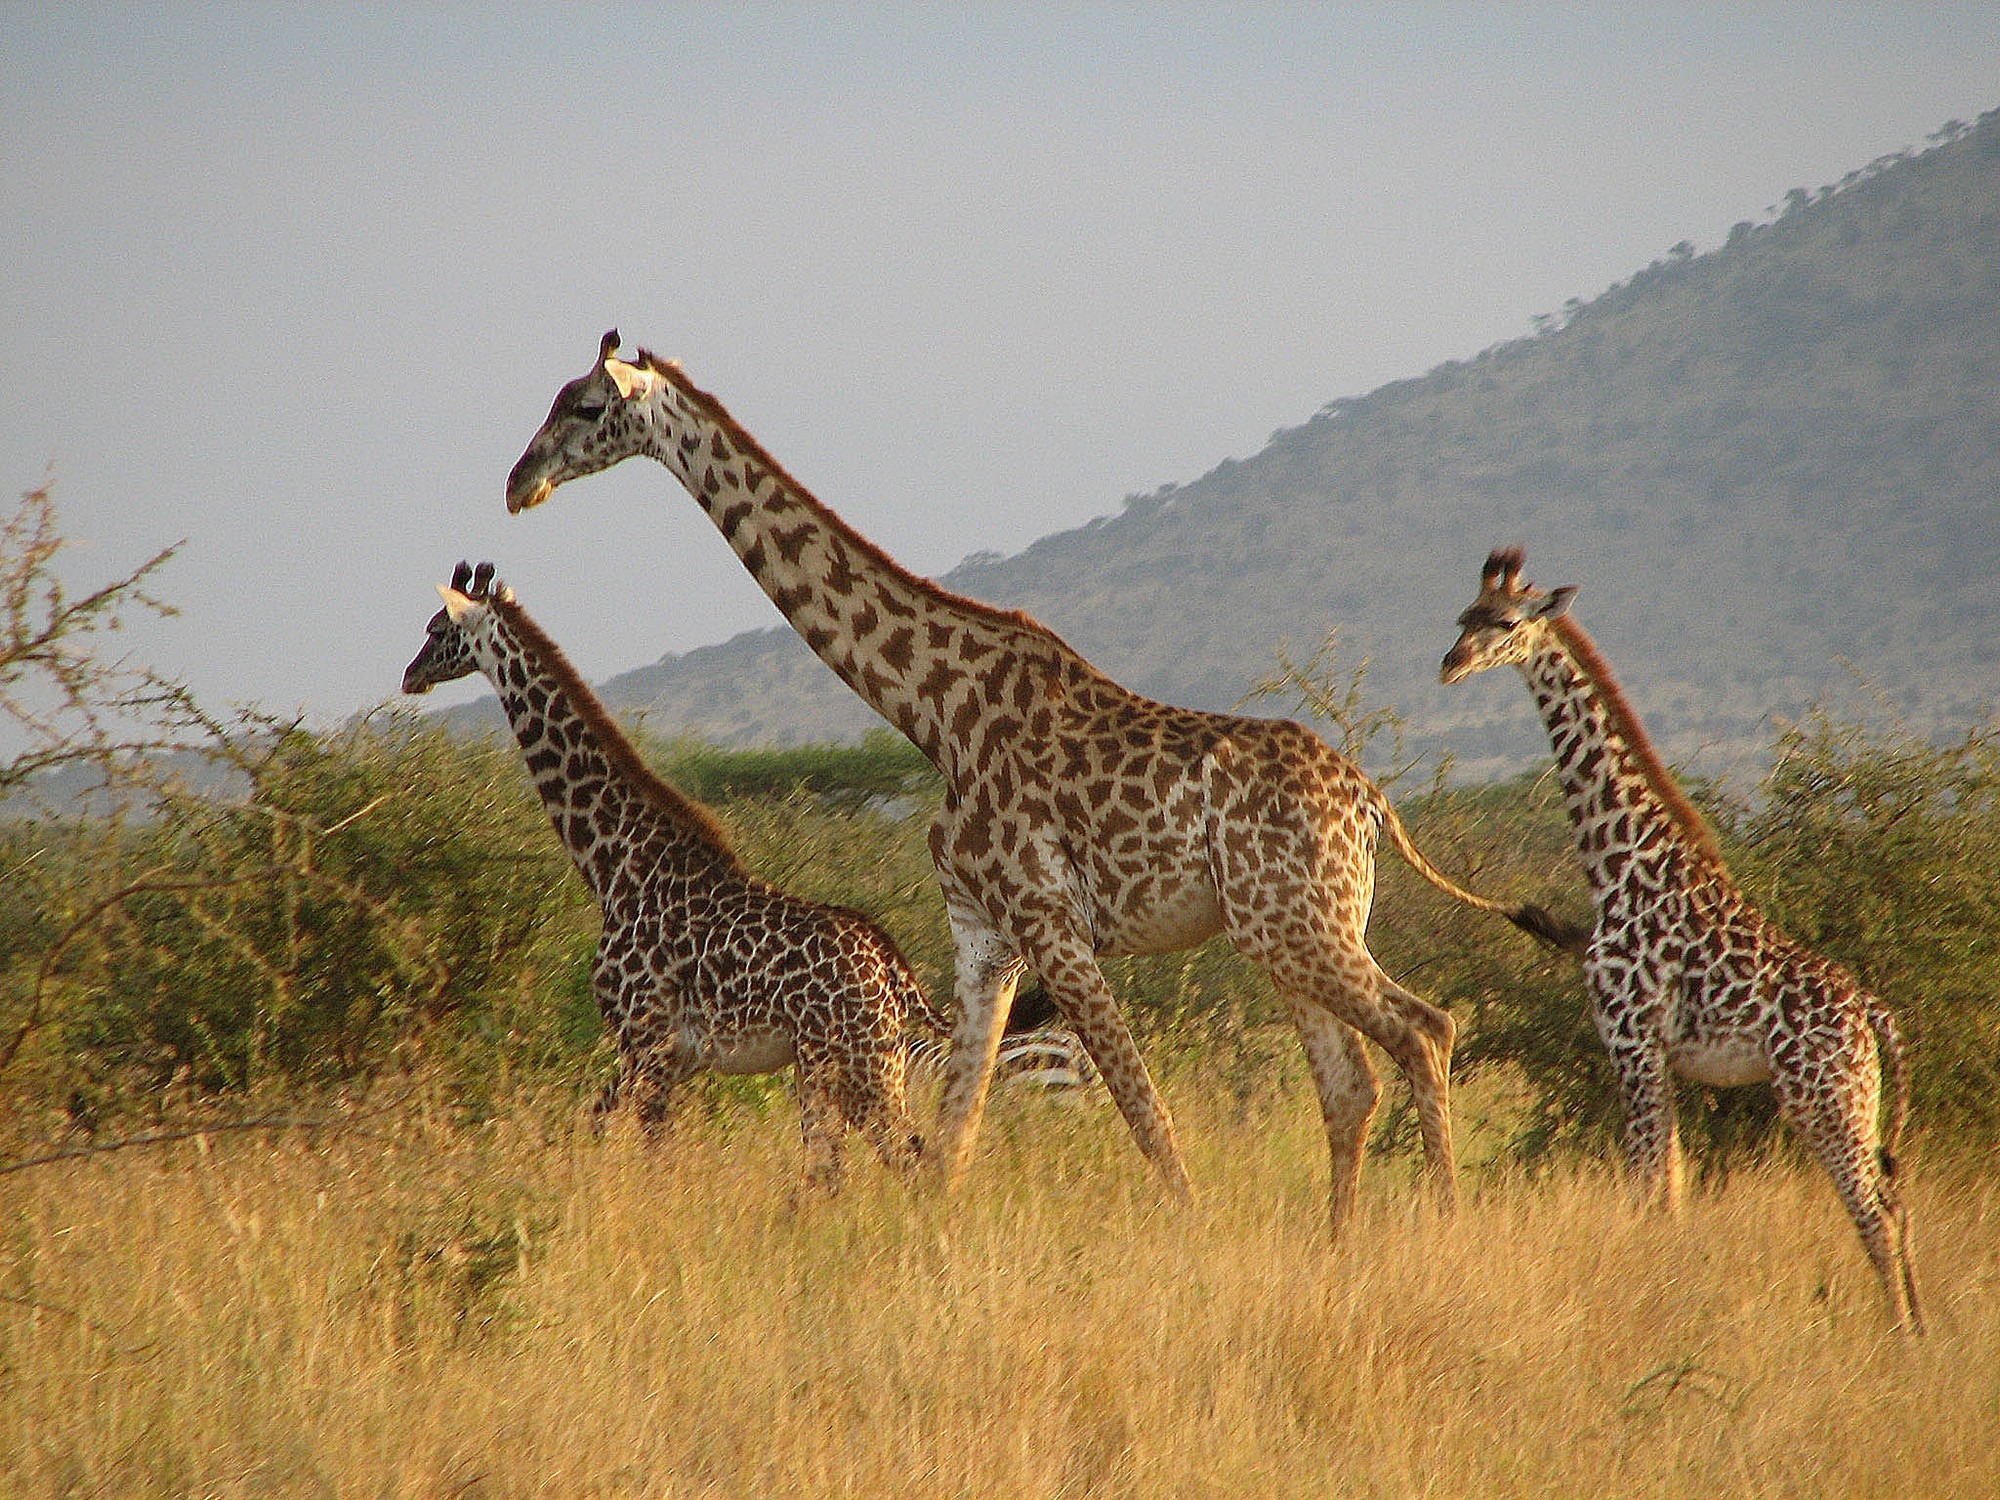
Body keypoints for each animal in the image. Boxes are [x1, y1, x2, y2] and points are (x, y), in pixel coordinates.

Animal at [406, 564, 944, 1200]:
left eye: (436, 629)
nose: (410, 675)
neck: (614, 866)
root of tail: (896, 971)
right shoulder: (662, 1054)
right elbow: (600, 1128)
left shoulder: (645, 1039)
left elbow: (647, 1155)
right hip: (855, 1062)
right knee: (873, 1164)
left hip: (846, 1061)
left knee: (880, 1163)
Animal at [504, 334, 1576, 1224]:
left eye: (587, 406)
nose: (520, 481)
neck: (932, 712)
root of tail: (1370, 801)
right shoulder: (983, 936)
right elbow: (950, 1141)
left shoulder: (1054, 921)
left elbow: (1147, 1114)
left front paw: (1188, 1240)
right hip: (1285, 929)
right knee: (1352, 1082)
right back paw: (1338, 1246)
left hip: (1298, 924)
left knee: (1425, 1030)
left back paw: (1440, 1230)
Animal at [1440, 548, 1920, 1328]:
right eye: (1462, 616)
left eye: (1506, 623)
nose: (1449, 664)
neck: (1619, 864)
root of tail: (1872, 1013)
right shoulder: (1659, 1054)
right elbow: (1672, 1188)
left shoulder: (1631, 1040)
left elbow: (1648, 1189)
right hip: (1856, 1096)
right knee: (1895, 1201)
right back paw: (1922, 1326)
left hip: (1823, 1096)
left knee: (1874, 1210)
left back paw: (1902, 1334)